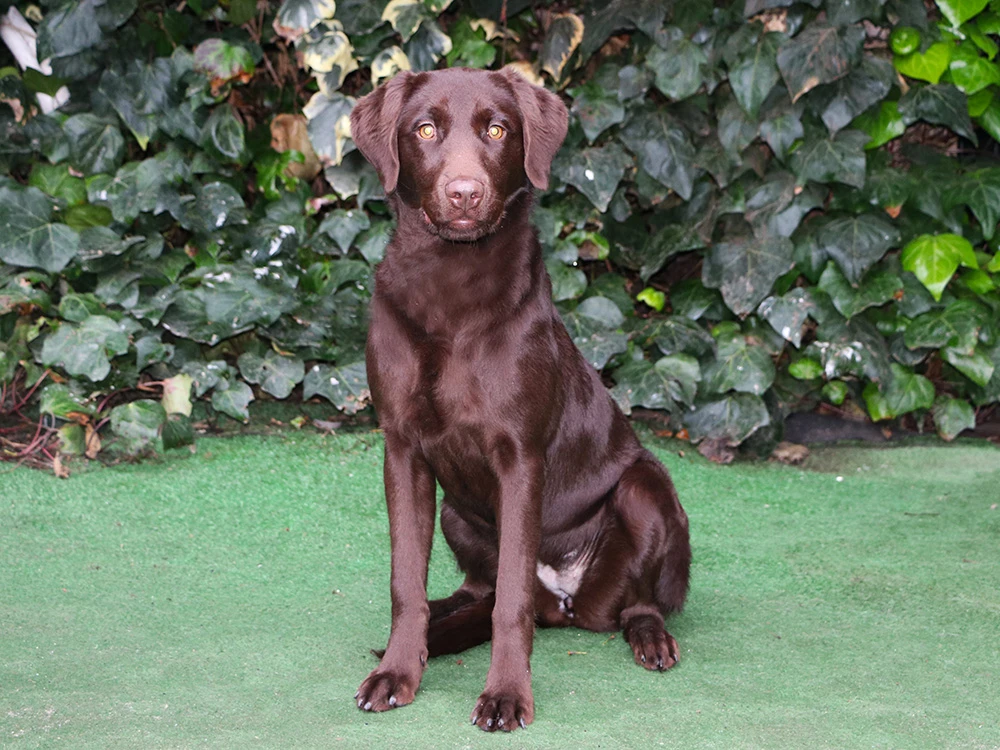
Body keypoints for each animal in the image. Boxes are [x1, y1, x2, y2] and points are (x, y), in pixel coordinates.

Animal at [350, 67, 688, 732]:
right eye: (423, 129)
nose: (463, 193)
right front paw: (399, 672)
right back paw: (445, 610)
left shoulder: (520, 456)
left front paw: (506, 694)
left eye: (497, 130)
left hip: (645, 489)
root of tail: (562, 600)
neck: (449, 285)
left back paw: (649, 635)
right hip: (456, 512)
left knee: (627, 601)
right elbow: (405, 582)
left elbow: (510, 602)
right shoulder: (401, 450)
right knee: (473, 589)